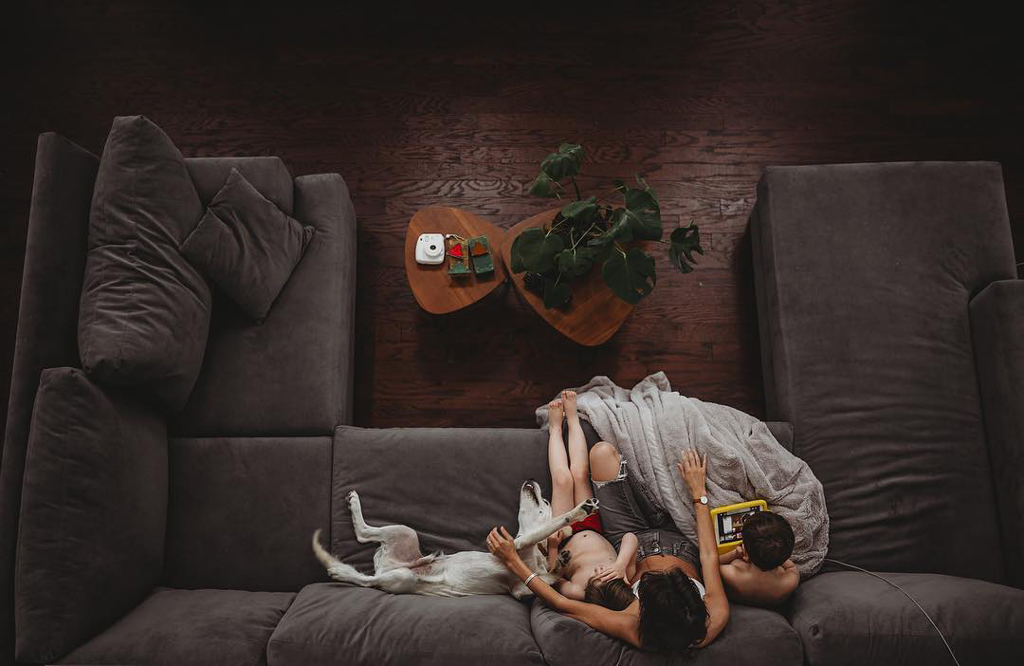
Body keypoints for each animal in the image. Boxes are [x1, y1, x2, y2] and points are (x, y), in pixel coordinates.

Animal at [315, 477, 598, 598]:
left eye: (546, 501)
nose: (532, 479)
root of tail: (388, 567)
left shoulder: (521, 589)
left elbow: (548, 577)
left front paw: (560, 560)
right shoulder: (518, 544)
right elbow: (551, 526)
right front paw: (577, 511)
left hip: (403, 556)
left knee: (365, 549)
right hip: (404, 554)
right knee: (365, 569)